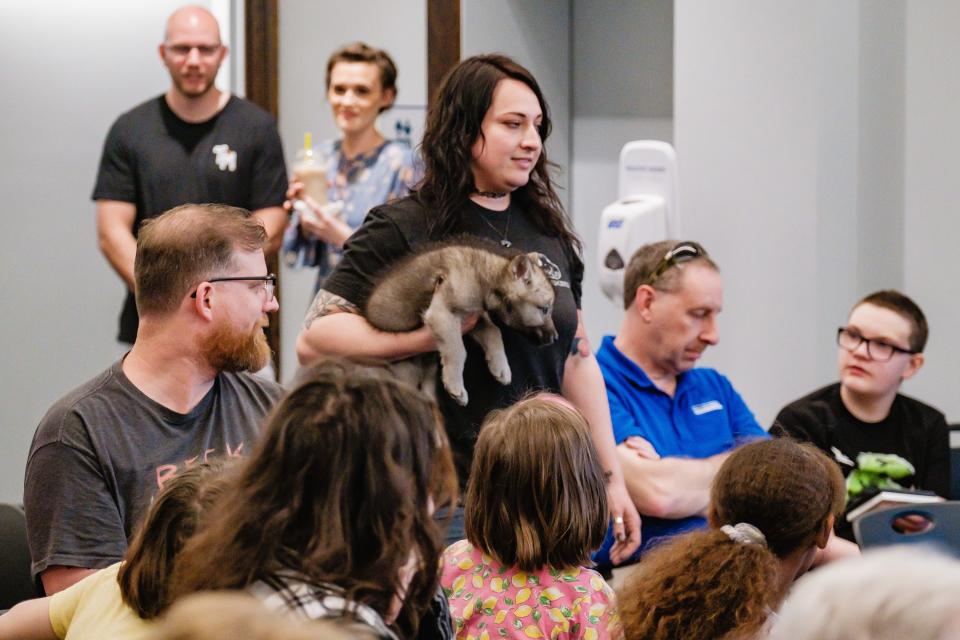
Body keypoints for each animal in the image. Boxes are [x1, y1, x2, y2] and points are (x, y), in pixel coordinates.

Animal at [368, 242, 564, 402]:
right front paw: (455, 386)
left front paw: (500, 367)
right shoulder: (442, 314)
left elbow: (494, 332)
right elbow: (458, 351)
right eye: (545, 309)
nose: (556, 338)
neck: (485, 279)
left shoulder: (473, 318)